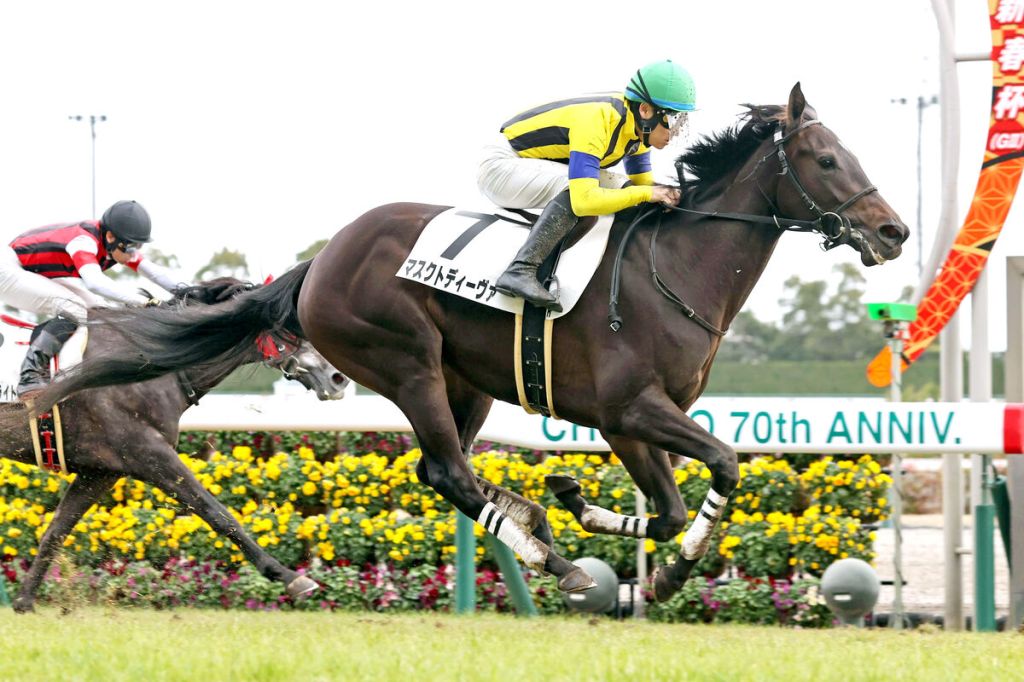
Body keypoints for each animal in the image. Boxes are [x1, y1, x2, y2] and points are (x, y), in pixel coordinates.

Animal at [1, 278, 349, 613]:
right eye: (292, 324)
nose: (338, 378)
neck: (153, 356)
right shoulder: (148, 452)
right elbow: (217, 513)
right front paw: (291, 577)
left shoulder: (102, 469)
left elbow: (56, 529)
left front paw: (25, 601)